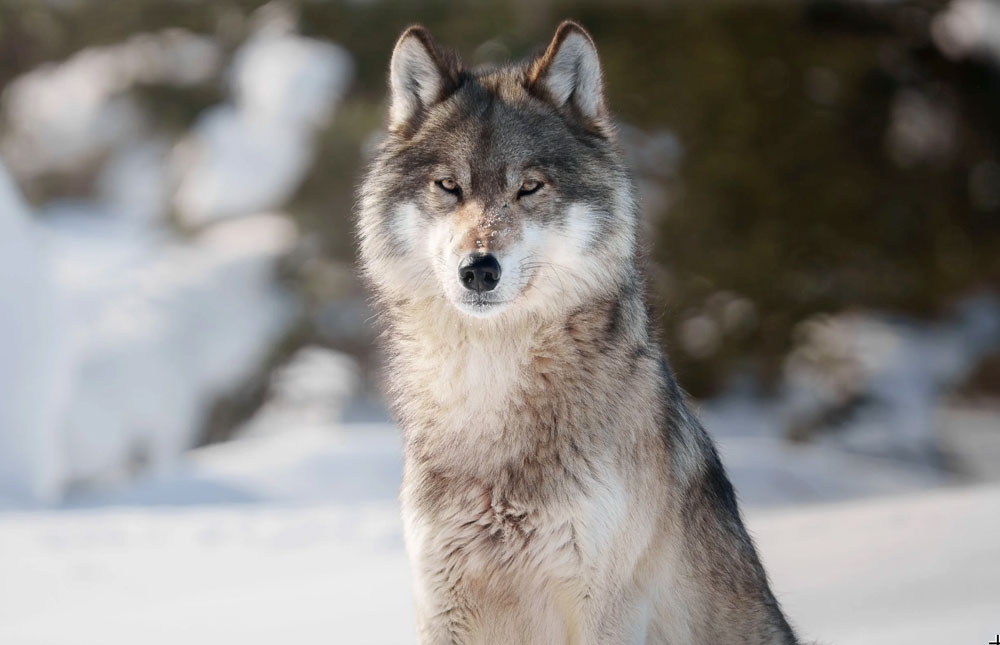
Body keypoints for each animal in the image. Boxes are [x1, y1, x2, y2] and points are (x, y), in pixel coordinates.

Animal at [357, 20, 799, 644]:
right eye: (449, 186)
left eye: (529, 187)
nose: (479, 269)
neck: (492, 384)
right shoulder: (442, 603)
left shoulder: (604, 604)